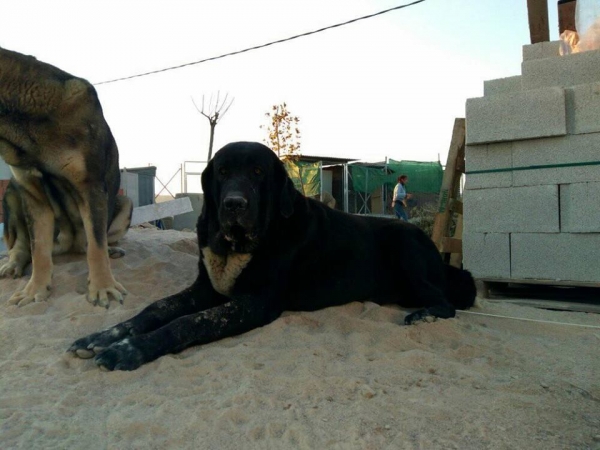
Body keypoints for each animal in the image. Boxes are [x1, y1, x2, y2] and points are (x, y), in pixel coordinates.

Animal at [0, 47, 131, 308]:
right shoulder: (33, 195)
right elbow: (38, 249)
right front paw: (35, 290)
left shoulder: (90, 187)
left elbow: (96, 246)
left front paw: (103, 287)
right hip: (12, 194)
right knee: (20, 245)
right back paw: (13, 264)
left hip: (125, 203)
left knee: (95, 242)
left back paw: (112, 251)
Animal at [68, 142, 476, 370]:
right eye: (222, 171)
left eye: (258, 171)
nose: (234, 204)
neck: (237, 244)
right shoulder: (205, 289)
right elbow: (155, 309)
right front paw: (102, 337)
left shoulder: (255, 302)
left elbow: (188, 323)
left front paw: (129, 350)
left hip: (406, 249)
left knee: (447, 302)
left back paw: (425, 315)